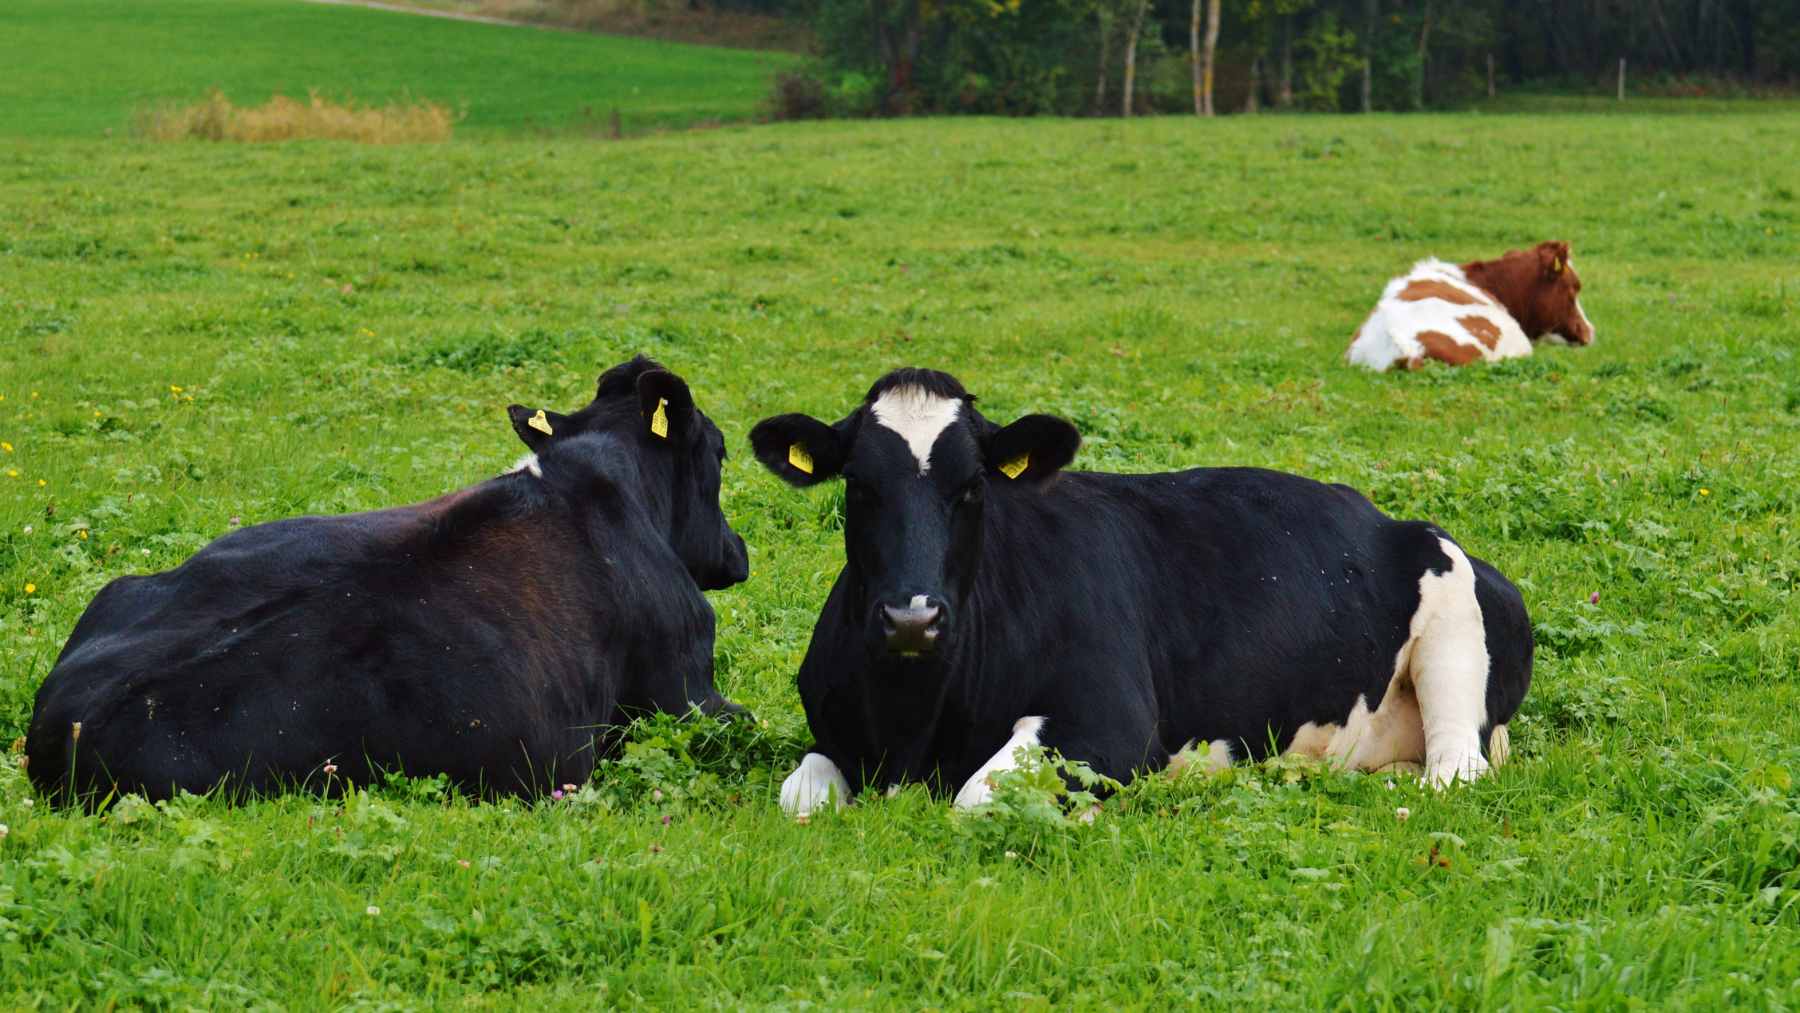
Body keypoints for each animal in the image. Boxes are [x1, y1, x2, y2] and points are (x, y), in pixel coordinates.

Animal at [750, 369, 1533, 816]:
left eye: (972, 486)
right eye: (859, 484)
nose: (912, 619)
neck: (913, 725)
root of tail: (1389, 519)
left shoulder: (1110, 723)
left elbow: (977, 797)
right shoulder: (834, 734)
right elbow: (798, 797)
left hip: (1454, 634)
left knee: (1454, 772)